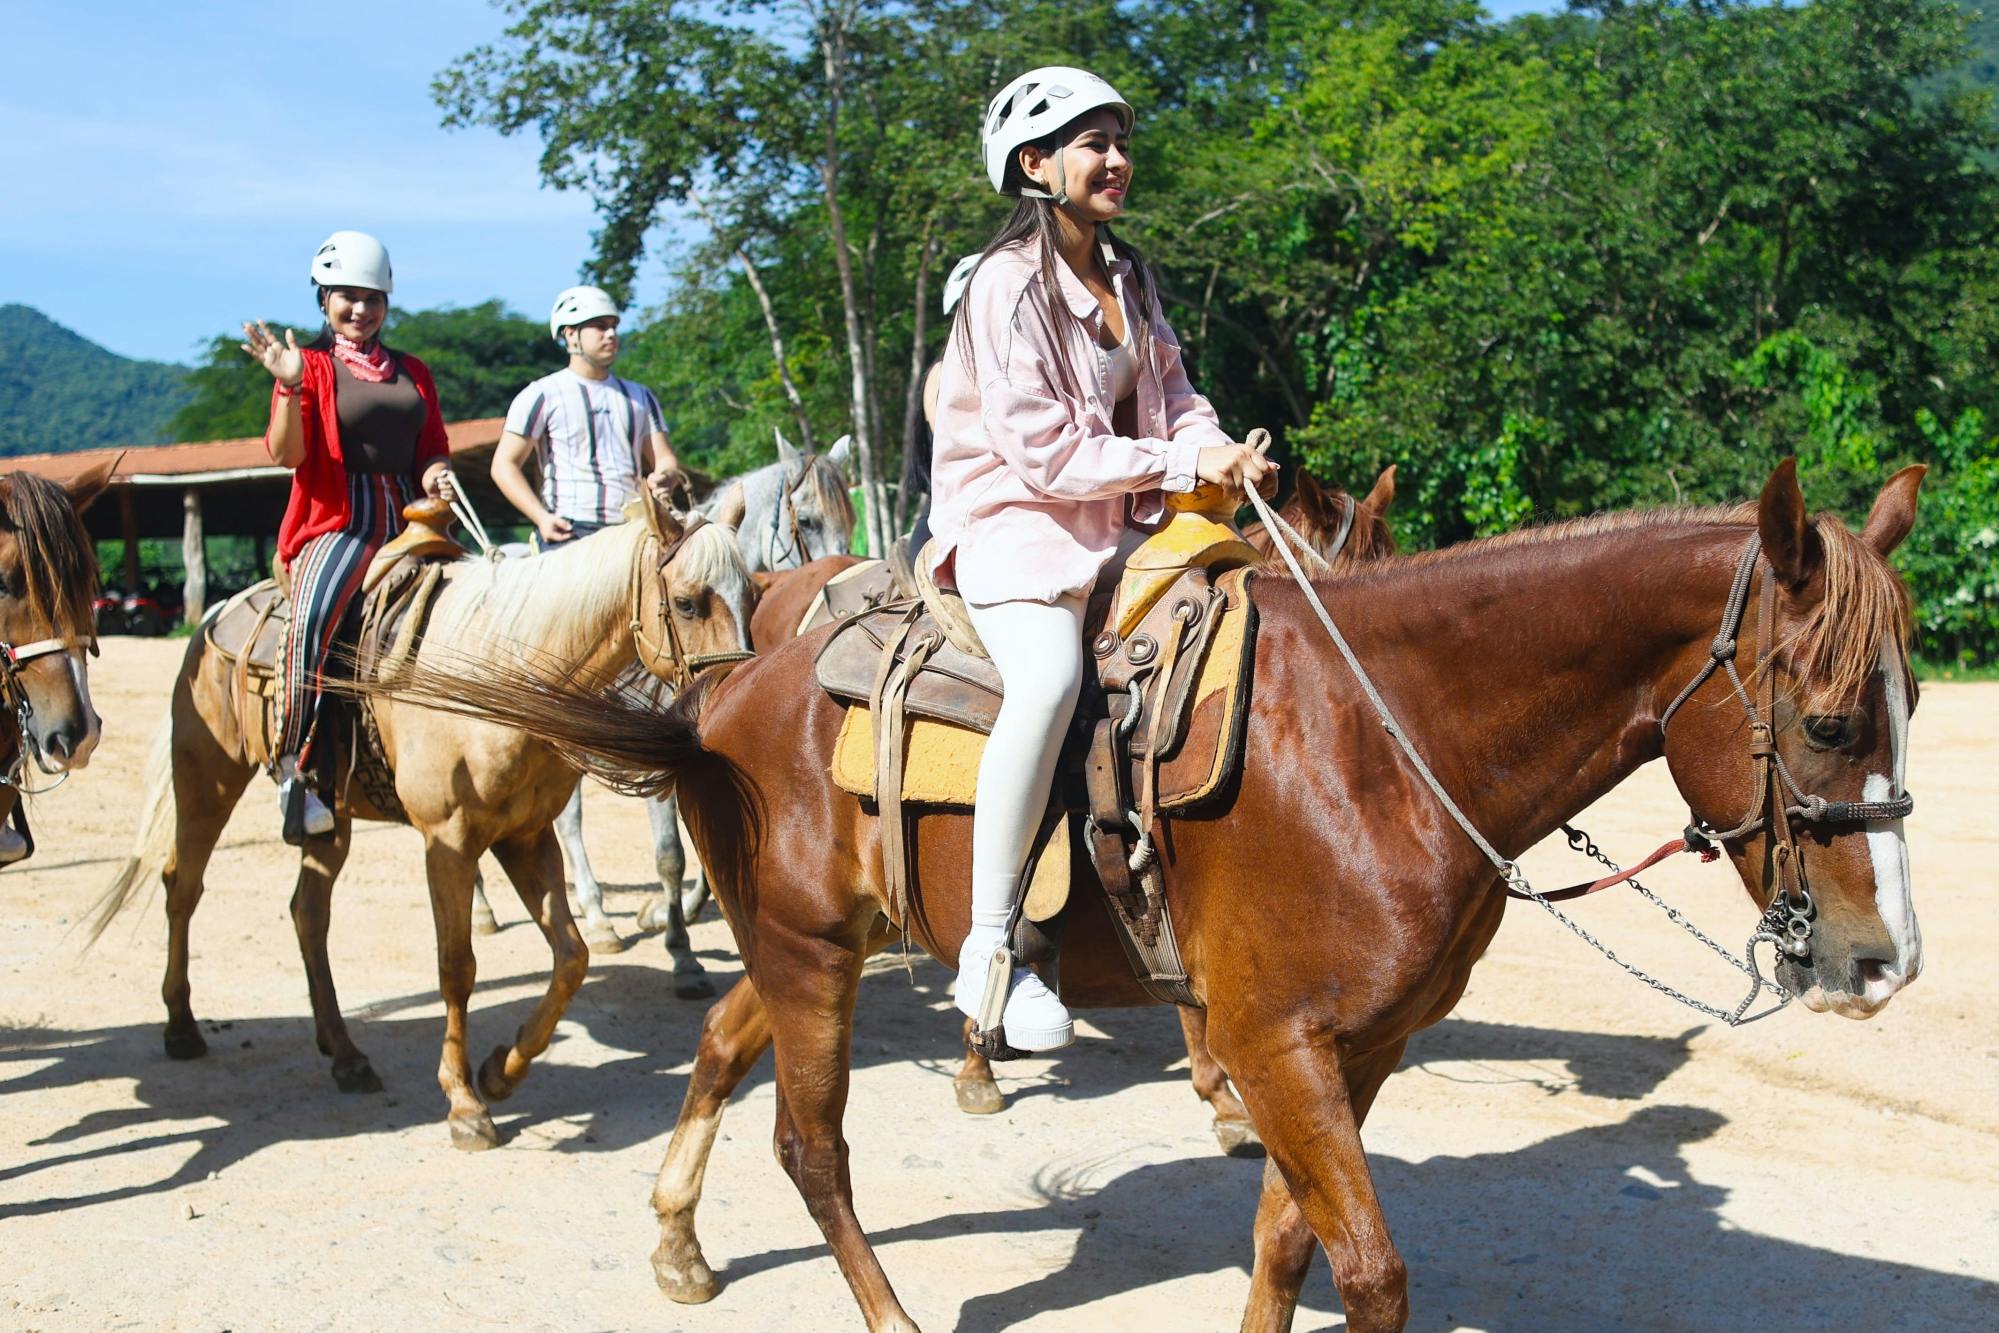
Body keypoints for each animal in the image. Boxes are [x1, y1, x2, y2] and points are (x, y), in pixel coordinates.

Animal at [91, 495, 755, 1151]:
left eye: (752, 596)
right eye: (689, 602)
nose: (731, 708)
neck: (494, 675)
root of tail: (218, 611)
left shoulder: (526, 837)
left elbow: (571, 958)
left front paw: (500, 1071)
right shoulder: (449, 842)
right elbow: (457, 966)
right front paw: (465, 1104)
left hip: (328, 820)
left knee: (308, 915)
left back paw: (346, 1055)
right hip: (207, 778)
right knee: (183, 886)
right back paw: (181, 1025)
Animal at [375, 459, 1919, 1327]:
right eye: (1831, 718)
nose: (1880, 963)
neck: (1375, 741)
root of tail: (725, 684)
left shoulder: (1352, 1052)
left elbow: (1287, 1248)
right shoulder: (1276, 1041)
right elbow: (1367, 1270)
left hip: (807, 942)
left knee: (716, 1045)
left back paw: (678, 1242)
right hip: (810, 951)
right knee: (811, 1151)